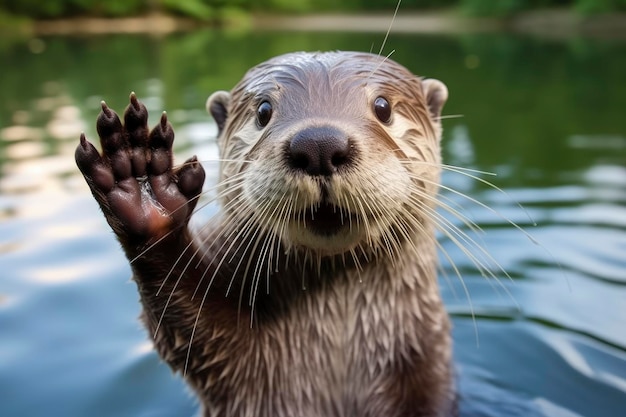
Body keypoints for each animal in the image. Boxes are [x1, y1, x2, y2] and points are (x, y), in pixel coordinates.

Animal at [75, 51, 450, 416]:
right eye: (264, 111)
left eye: (383, 107)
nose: (319, 144)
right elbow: (193, 332)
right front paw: (143, 191)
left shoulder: (423, 357)